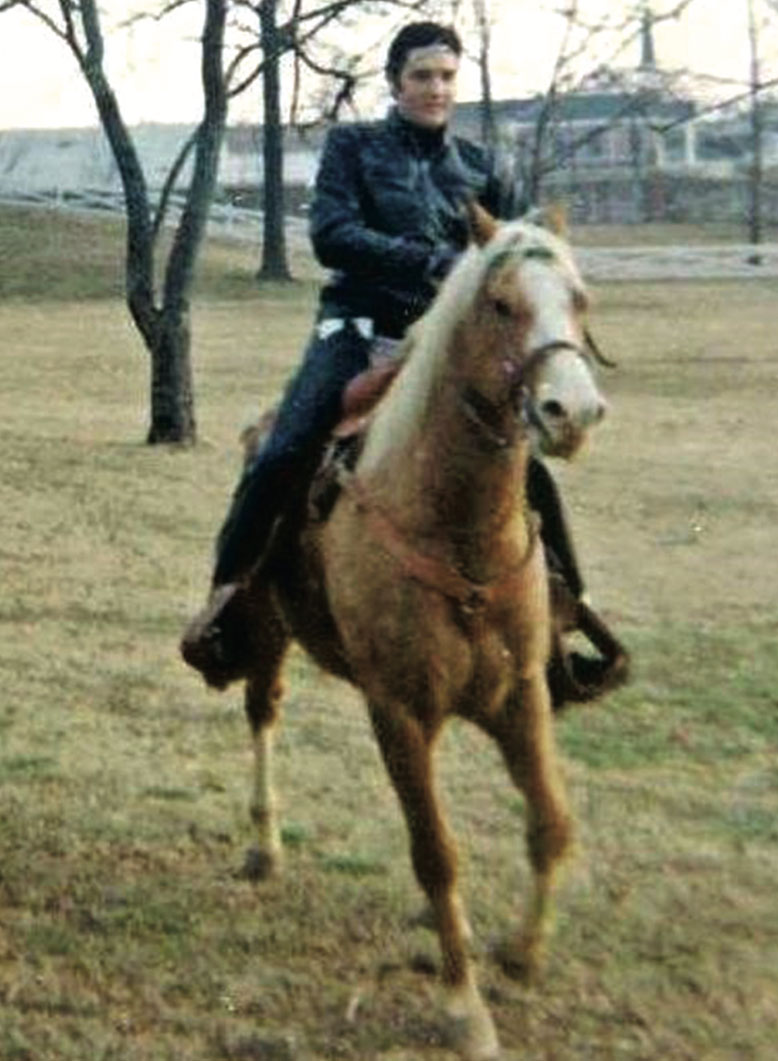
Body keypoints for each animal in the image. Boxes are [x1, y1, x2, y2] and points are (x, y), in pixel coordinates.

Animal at [236, 206, 607, 1061]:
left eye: (579, 299)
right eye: (501, 304)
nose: (572, 412)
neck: (456, 528)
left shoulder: (521, 694)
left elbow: (550, 824)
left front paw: (519, 951)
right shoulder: (399, 710)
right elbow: (436, 852)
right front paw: (463, 1008)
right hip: (267, 627)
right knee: (263, 710)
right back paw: (265, 845)